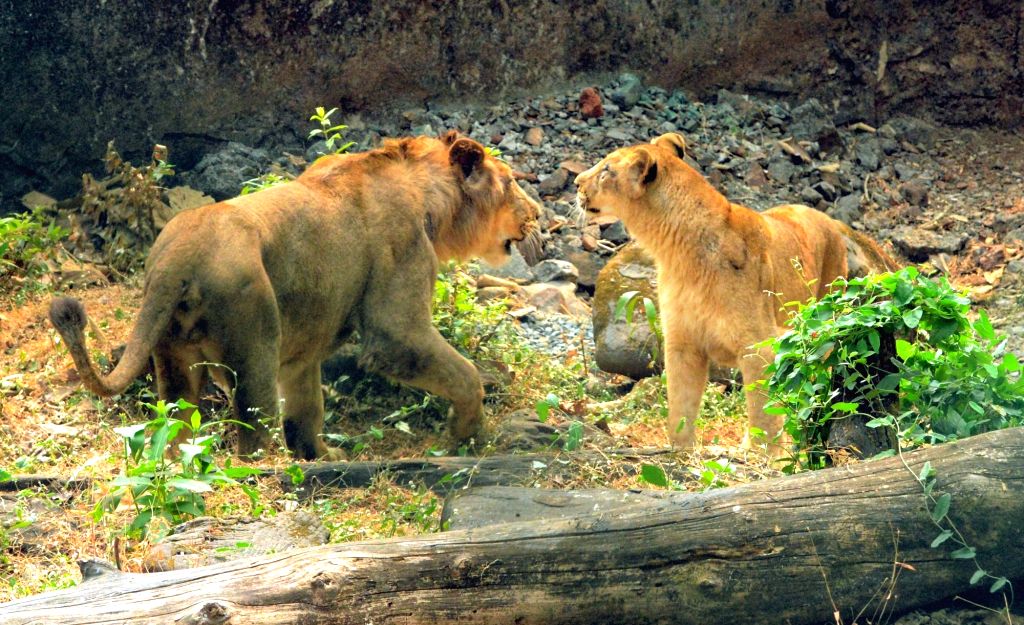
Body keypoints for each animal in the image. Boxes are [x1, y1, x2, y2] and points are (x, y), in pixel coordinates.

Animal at [49, 131, 543, 460]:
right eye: (510, 183)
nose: (539, 214)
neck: (429, 198)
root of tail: (175, 257)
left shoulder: (305, 344)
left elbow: (307, 407)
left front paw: (321, 457)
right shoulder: (394, 327)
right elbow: (464, 373)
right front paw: (469, 434)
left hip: (173, 358)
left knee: (175, 429)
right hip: (254, 342)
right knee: (253, 431)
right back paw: (267, 473)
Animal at [575, 132, 898, 455]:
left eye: (606, 170)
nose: (577, 182)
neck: (677, 253)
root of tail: (828, 219)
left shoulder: (757, 344)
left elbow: (763, 408)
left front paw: (763, 454)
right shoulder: (682, 342)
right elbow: (680, 405)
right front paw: (680, 449)